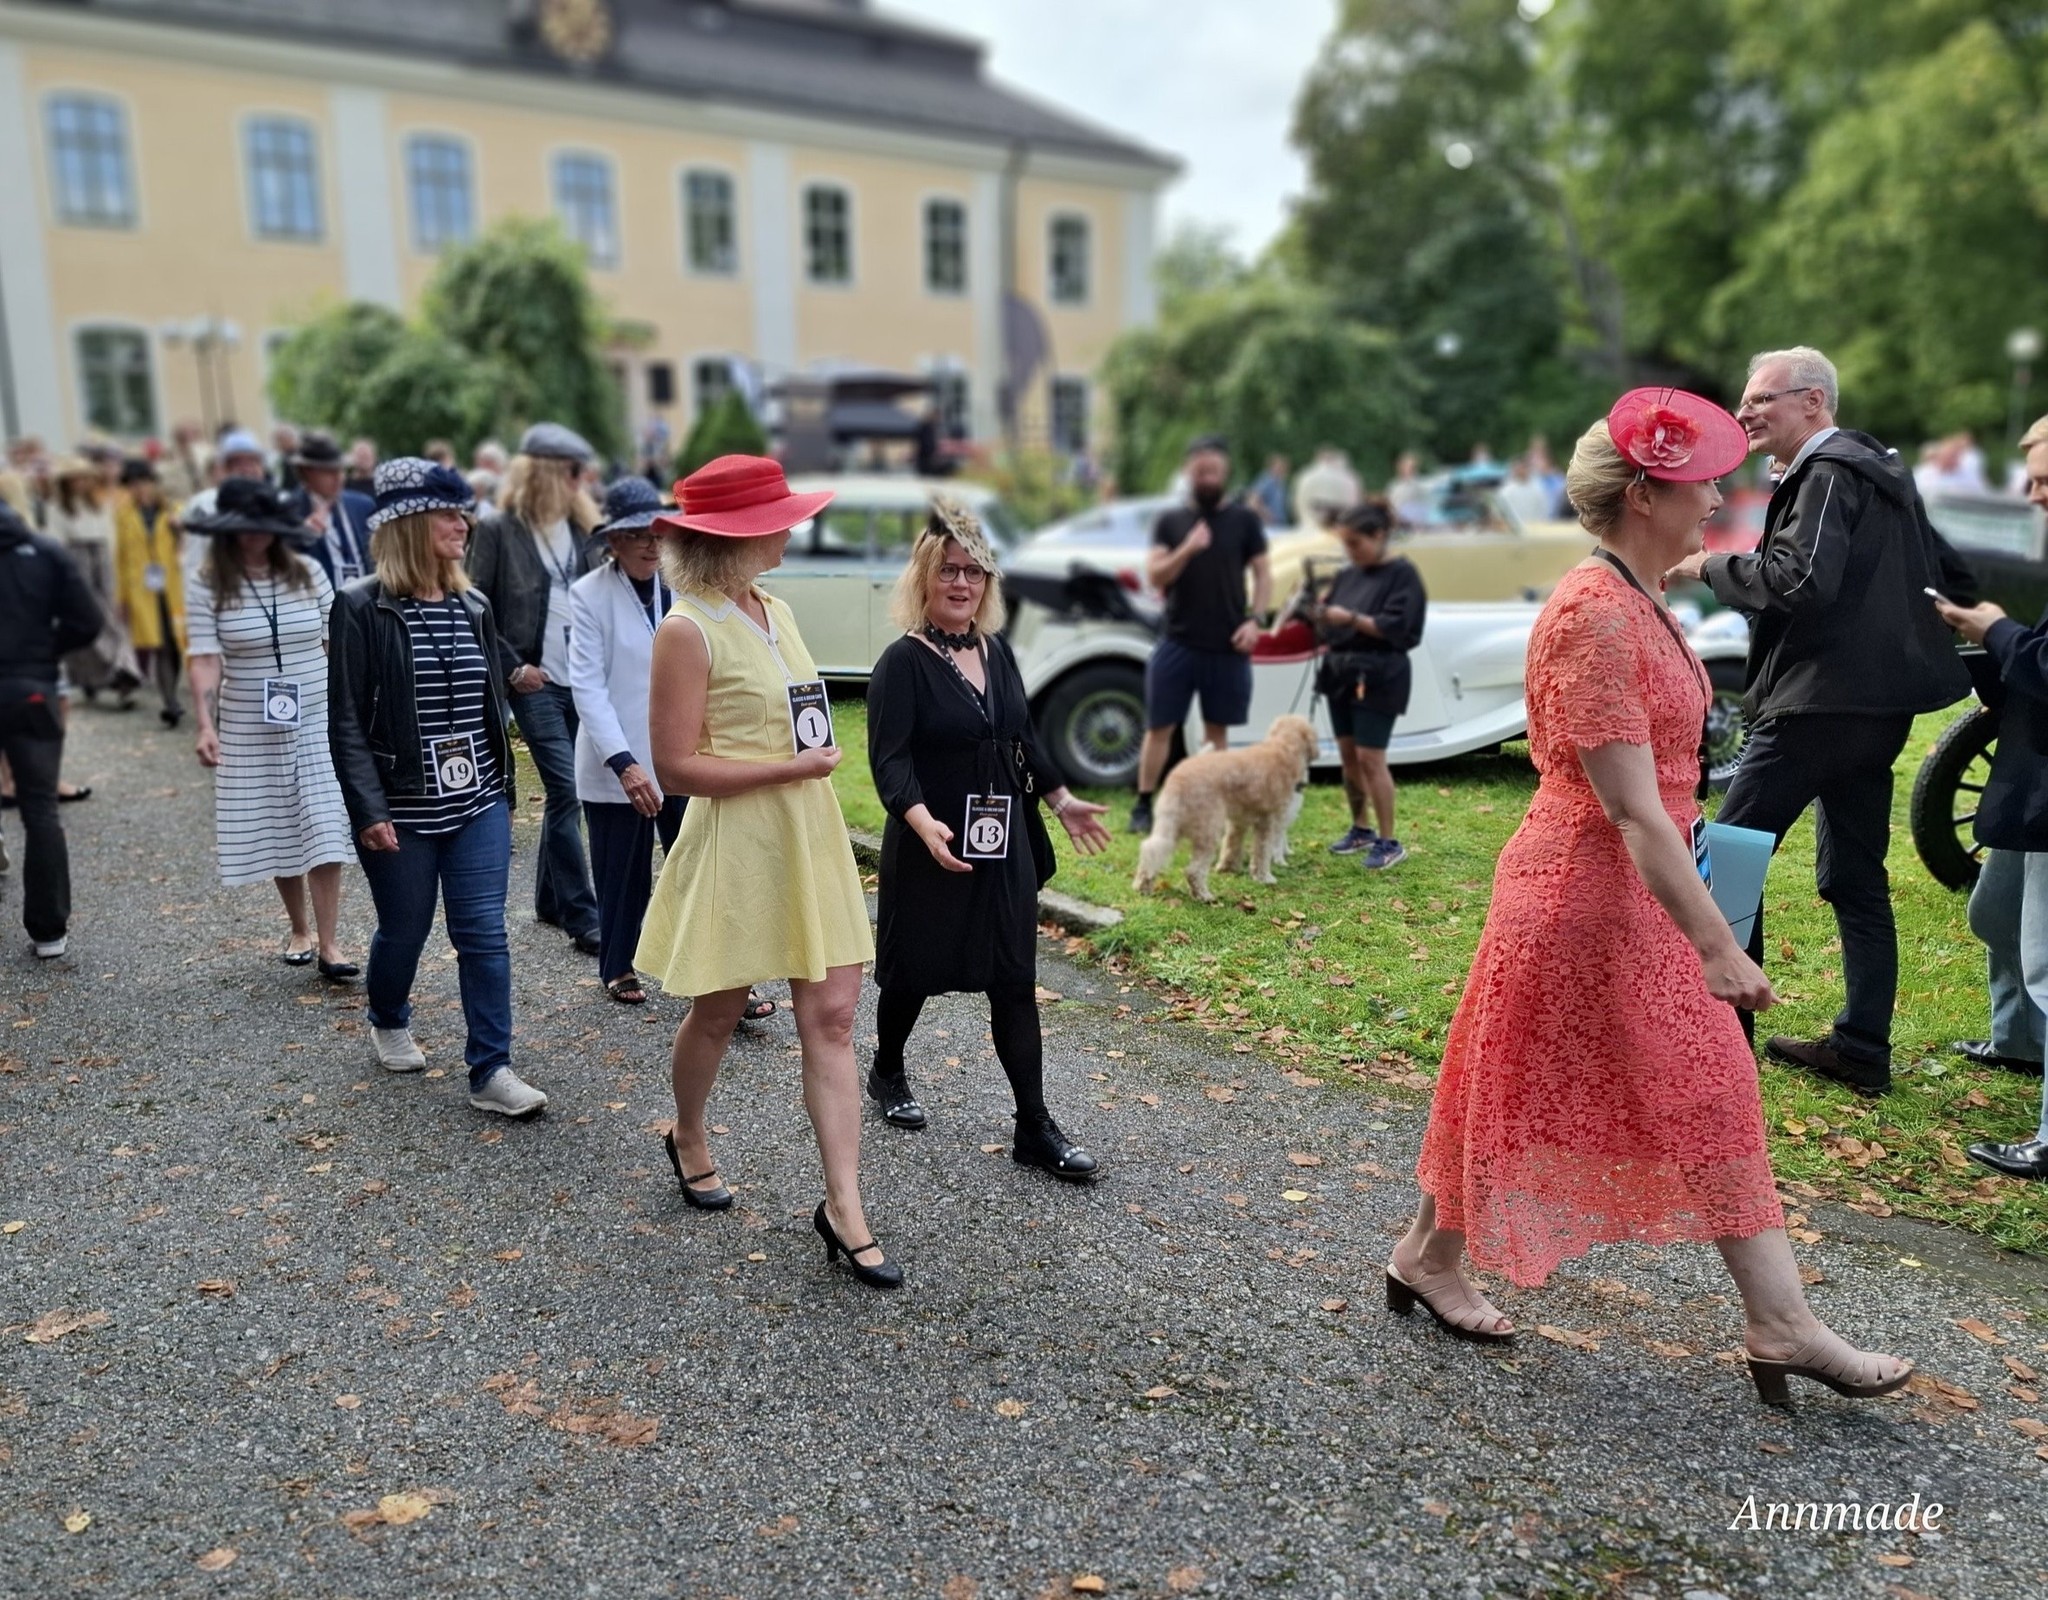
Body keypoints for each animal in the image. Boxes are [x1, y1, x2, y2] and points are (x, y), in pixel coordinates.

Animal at [1133, 714, 1319, 902]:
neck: (1284, 747)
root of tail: (1179, 777)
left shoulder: (1238, 821)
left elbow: (1232, 845)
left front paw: (1228, 868)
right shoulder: (1270, 822)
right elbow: (1263, 852)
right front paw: (1265, 877)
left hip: (1169, 824)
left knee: (1152, 849)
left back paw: (1143, 885)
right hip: (1207, 829)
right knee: (1193, 870)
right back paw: (1204, 895)